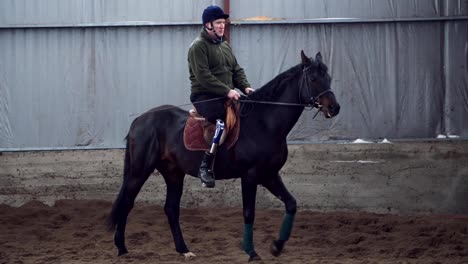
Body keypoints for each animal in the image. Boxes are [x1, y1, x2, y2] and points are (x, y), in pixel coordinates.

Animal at [106, 50, 340, 260]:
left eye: (328, 78)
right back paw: (122, 248)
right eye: (313, 79)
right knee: (127, 202)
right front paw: (251, 252)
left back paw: (184, 250)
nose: (334, 108)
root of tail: (140, 120)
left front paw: (277, 246)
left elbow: (291, 204)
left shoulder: (270, 175)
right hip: (139, 171)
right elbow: (249, 213)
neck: (264, 122)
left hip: (173, 174)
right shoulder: (251, 176)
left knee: (171, 209)